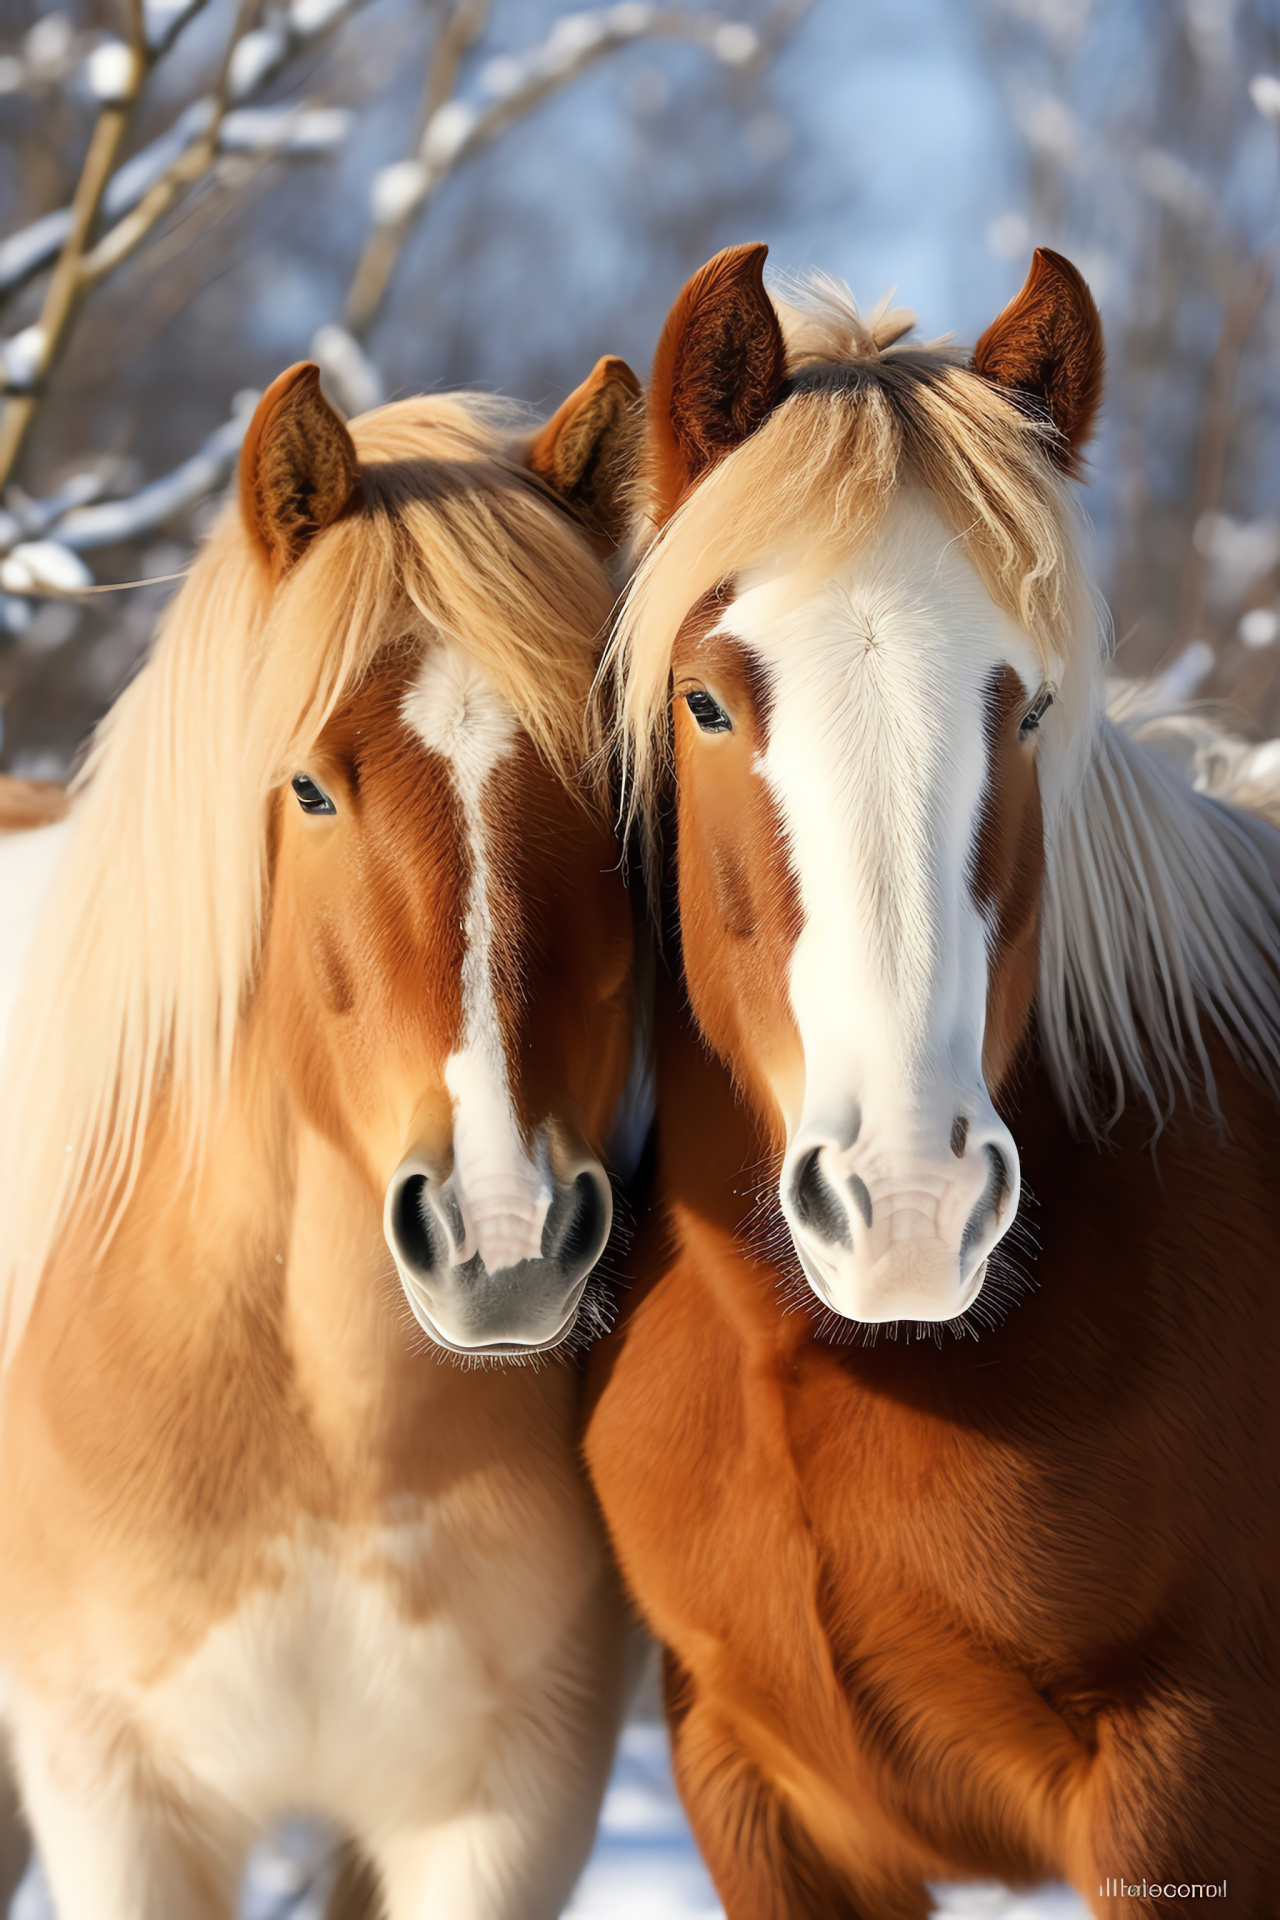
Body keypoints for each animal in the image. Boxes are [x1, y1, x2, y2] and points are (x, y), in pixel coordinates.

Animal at [0, 353, 644, 1920]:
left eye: (612, 780)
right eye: (307, 787)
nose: (503, 1238)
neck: (329, 1433)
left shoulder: (501, 1810)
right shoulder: (117, 1799)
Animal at [587, 247, 1280, 1912]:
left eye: (1025, 706)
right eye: (708, 702)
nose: (907, 1206)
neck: (824, 1366)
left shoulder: (1194, 1785)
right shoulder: (757, 1794)